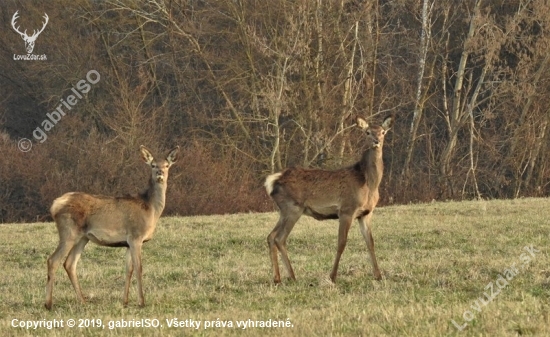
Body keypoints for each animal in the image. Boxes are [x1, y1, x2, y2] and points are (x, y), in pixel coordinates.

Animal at [45, 145, 179, 310]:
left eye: (167, 165)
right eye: (153, 165)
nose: (160, 174)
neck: (151, 210)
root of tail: (54, 205)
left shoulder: (127, 243)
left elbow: (129, 270)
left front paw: (125, 302)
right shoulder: (136, 236)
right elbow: (139, 268)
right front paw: (141, 302)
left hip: (82, 238)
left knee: (69, 264)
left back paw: (82, 301)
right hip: (68, 232)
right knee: (53, 260)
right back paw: (48, 304)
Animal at [266, 115, 394, 284]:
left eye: (383, 132)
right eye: (367, 132)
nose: (376, 141)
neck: (369, 184)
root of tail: (273, 181)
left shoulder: (366, 213)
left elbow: (370, 242)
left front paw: (378, 276)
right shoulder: (347, 210)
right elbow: (341, 243)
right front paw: (332, 276)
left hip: (284, 211)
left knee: (271, 236)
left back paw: (278, 278)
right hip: (293, 208)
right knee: (279, 238)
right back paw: (292, 276)